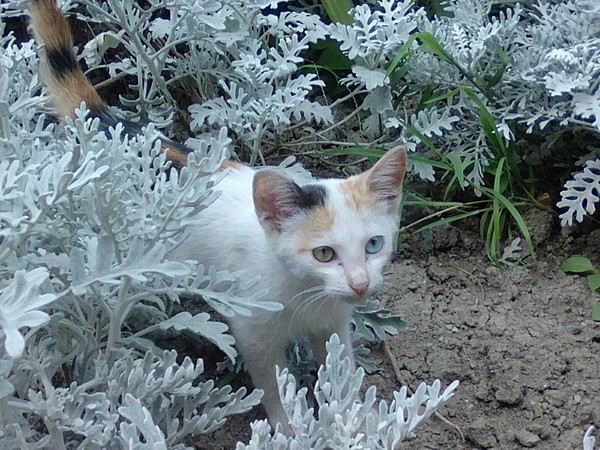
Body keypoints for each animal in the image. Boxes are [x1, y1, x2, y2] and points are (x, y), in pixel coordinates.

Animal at [29, 0, 408, 432]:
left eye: (374, 245)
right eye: (324, 254)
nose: (361, 285)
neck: (305, 293)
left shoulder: (334, 323)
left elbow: (339, 369)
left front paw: (349, 420)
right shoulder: (252, 330)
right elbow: (274, 386)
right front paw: (289, 429)